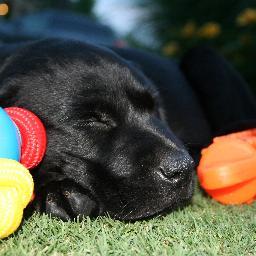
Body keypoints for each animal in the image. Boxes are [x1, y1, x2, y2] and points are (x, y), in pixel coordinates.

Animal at [0, 39, 256, 221]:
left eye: (154, 109)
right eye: (93, 119)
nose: (183, 168)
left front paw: (61, 195)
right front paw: (62, 194)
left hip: (205, 57)